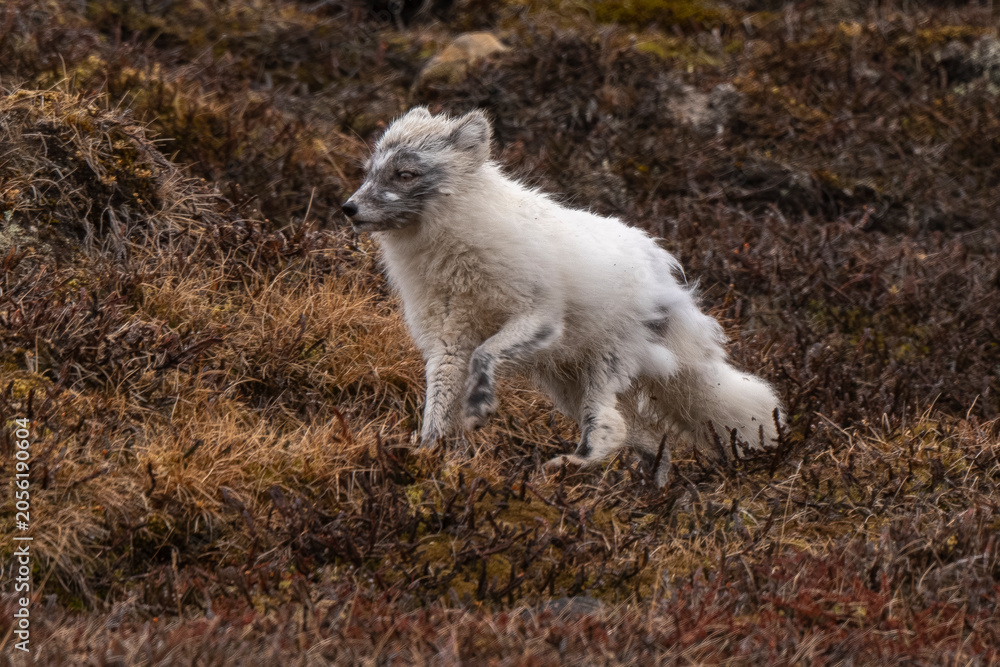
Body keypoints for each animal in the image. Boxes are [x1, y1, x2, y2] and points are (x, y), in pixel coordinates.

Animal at [342, 106, 782, 485]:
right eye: (369, 173)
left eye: (405, 174)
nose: (348, 208)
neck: (452, 252)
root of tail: (666, 278)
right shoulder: (447, 342)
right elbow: (434, 411)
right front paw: (423, 459)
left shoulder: (540, 316)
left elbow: (485, 354)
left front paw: (479, 405)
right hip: (568, 388)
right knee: (646, 438)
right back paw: (653, 495)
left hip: (603, 367)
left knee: (610, 430)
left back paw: (572, 466)